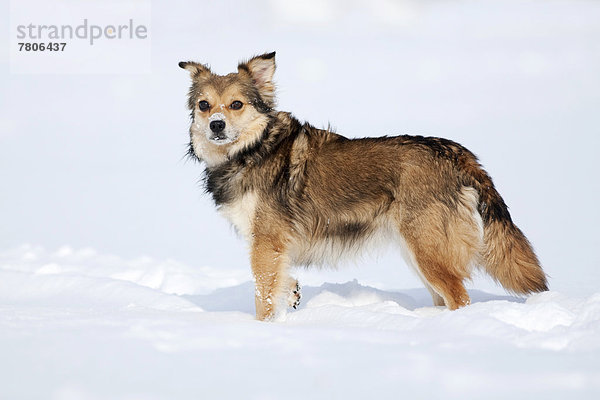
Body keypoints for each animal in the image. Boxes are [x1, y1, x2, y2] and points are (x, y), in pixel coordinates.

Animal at [178, 52, 548, 322]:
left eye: (236, 104)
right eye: (204, 105)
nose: (216, 125)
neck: (252, 150)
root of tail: (456, 153)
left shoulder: (266, 242)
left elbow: (263, 298)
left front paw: (263, 329)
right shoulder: (275, 248)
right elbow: (282, 283)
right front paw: (293, 293)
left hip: (427, 252)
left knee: (460, 297)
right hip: (418, 254)